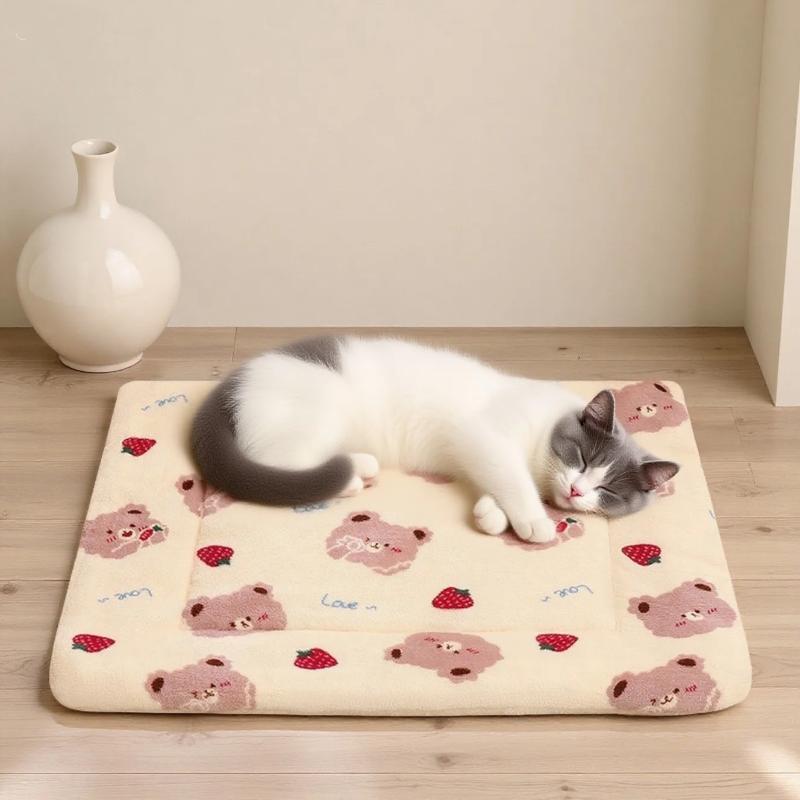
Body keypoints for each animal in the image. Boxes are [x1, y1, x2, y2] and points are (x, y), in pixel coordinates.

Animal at [191, 336, 679, 543]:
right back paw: (351, 476)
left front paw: (492, 513)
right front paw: (533, 520)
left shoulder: (479, 457)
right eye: (582, 456)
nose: (577, 490)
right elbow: (511, 476)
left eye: (608, 489)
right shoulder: (486, 435)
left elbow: (496, 483)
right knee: (282, 459)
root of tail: (234, 381)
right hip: (320, 413)